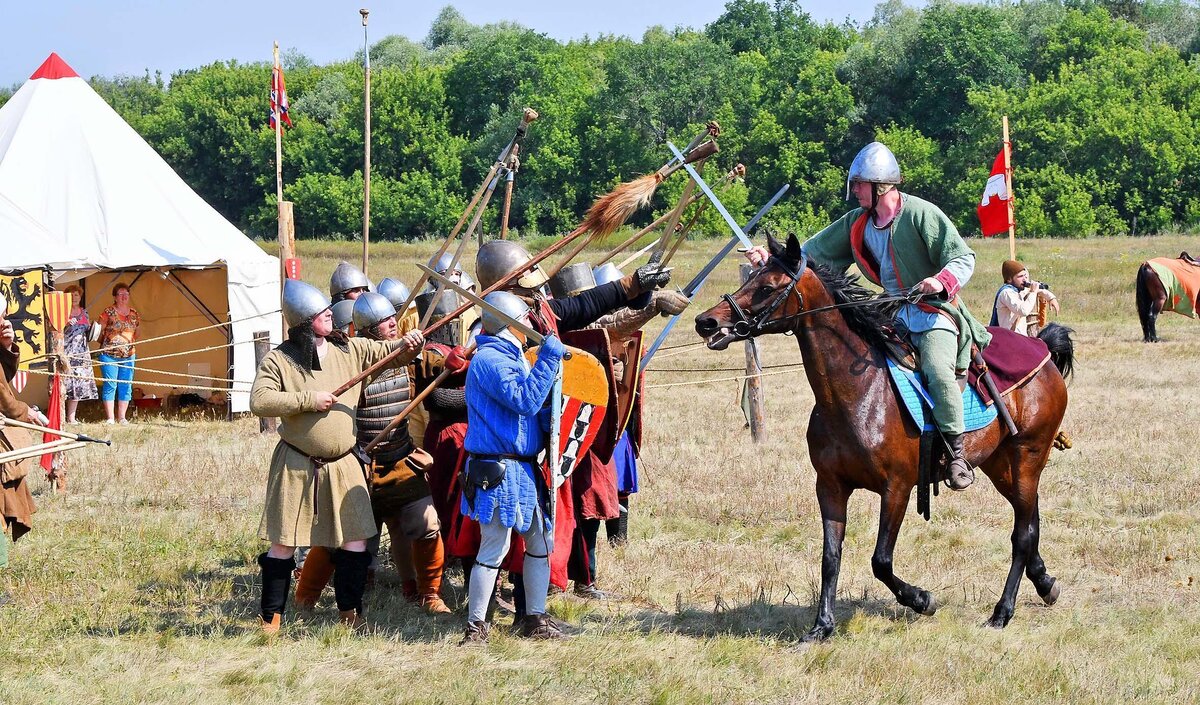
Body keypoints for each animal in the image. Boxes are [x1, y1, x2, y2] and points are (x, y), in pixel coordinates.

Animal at [696, 233, 1080, 642]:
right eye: (750, 277)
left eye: (767, 287)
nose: (707, 322)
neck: (857, 393)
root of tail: (1043, 350)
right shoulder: (830, 486)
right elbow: (830, 557)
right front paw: (822, 625)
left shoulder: (896, 488)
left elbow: (880, 560)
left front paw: (921, 599)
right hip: (1002, 466)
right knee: (1030, 522)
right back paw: (1044, 583)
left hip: (1027, 458)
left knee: (1022, 534)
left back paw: (1002, 611)